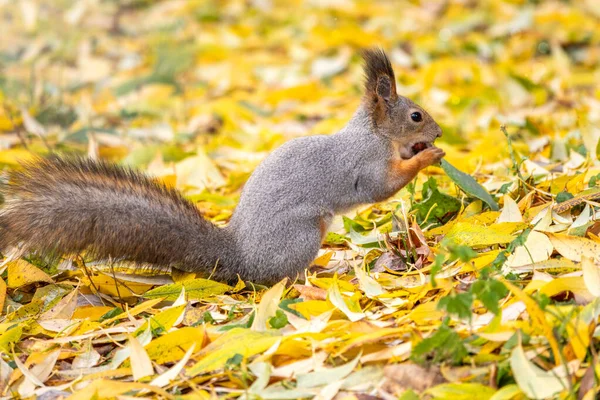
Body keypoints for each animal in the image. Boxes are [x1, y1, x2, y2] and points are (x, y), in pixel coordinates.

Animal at [0, 49, 440, 284]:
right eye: (416, 116)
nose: (437, 132)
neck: (374, 134)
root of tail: (240, 257)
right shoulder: (364, 164)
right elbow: (382, 186)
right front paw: (427, 156)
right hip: (300, 234)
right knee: (278, 279)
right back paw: (316, 276)